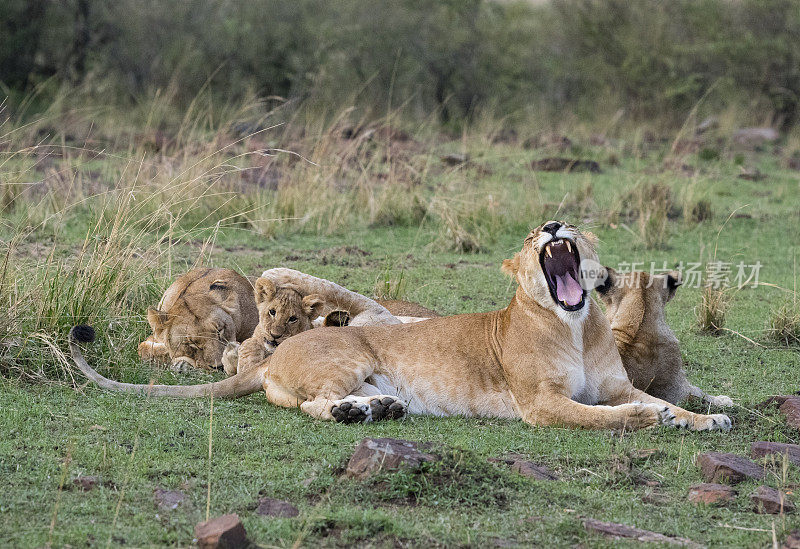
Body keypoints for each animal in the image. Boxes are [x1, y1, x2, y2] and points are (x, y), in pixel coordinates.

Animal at [70, 220, 732, 430]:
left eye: (570, 222)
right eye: (530, 237)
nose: (551, 226)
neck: (576, 325)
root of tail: (273, 353)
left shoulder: (616, 383)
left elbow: (655, 398)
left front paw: (705, 417)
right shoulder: (541, 404)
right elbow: (613, 414)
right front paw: (656, 418)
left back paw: (378, 409)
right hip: (348, 354)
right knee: (308, 403)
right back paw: (352, 413)